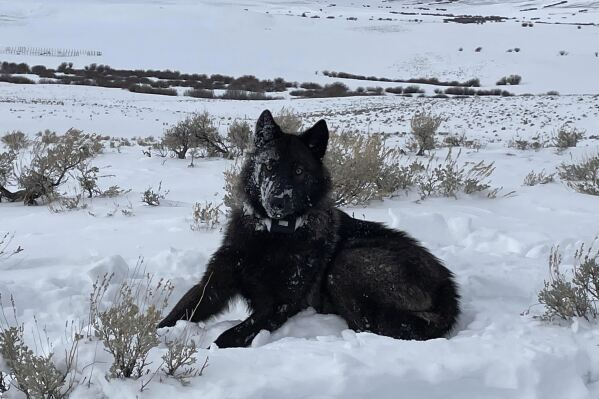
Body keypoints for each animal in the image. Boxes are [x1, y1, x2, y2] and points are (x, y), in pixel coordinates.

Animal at [158, 109, 460, 346]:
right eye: (269, 165)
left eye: (299, 170)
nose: (277, 200)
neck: (273, 235)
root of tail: (447, 288)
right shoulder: (214, 284)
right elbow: (177, 313)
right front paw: (155, 340)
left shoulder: (279, 305)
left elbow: (228, 337)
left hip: (347, 263)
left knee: (371, 325)